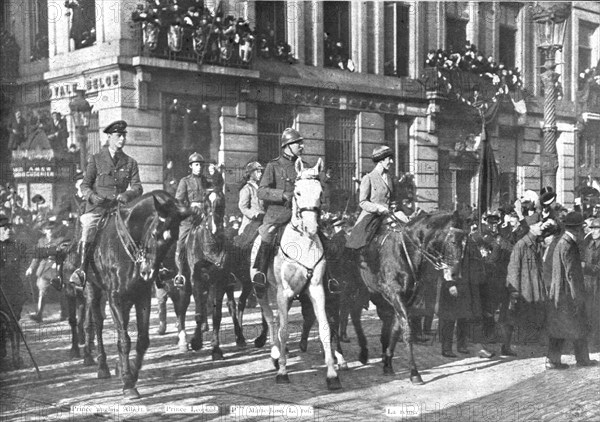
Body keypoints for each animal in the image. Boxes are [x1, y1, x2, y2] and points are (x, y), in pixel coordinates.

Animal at [79, 191, 188, 398]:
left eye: (174, 238)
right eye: (154, 234)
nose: (148, 272)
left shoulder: (141, 296)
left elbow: (142, 340)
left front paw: (131, 372)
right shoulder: (115, 297)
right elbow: (124, 340)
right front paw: (128, 382)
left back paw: (117, 366)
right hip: (92, 289)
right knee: (97, 325)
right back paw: (102, 366)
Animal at [250, 159, 342, 392]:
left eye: (320, 192)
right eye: (297, 192)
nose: (311, 227)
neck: (303, 242)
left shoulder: (317, 289)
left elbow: (325, 328)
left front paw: (332, 374)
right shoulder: (283, 292)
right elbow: (283, 330)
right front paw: (283, 372)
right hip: (263, 291)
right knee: (271, 320)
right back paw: (275, 354)